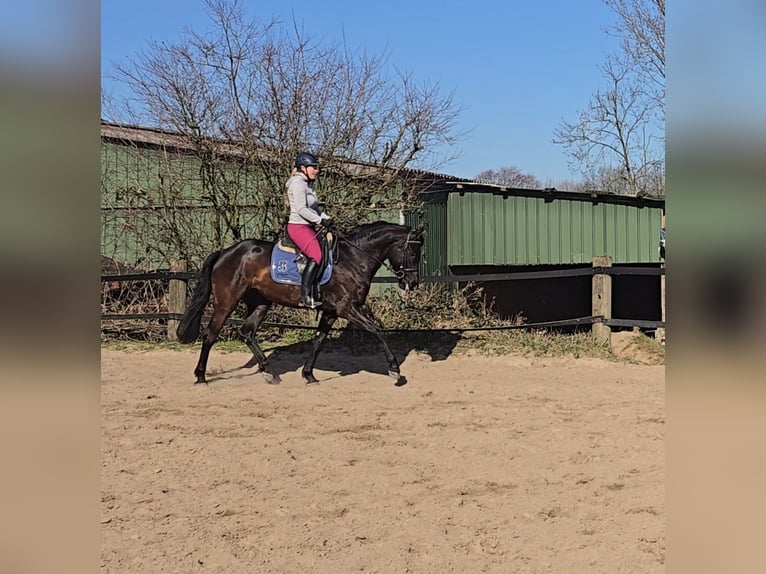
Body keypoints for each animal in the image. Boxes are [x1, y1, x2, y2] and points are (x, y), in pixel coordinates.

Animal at [176, 220, 426, 388]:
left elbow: (319, 341)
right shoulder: (346, 308)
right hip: (227, 301)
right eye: (413, 251)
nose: (412, 283)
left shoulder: (330, 312)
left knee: (247, 332)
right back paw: (201, 377)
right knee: (210, 335)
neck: (353, 259)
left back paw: (269, 372)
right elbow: (377, 331)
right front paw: (395, 370)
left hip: (261, 302)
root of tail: (225, 252)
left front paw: (308, 375)